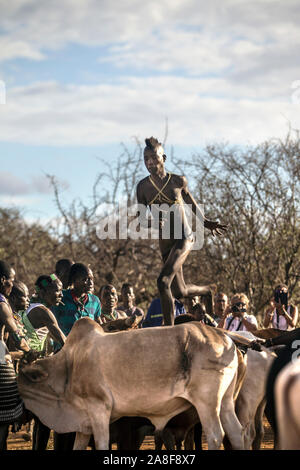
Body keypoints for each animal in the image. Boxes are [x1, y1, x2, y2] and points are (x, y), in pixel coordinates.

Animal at [17, 318, 245, 450]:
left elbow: (102, 445)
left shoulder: (99, 409)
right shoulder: (83, 424)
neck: (69, 366)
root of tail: (222, 334)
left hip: (207, 403)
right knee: (236, 432)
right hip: (226, 402)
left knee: (216, 436)